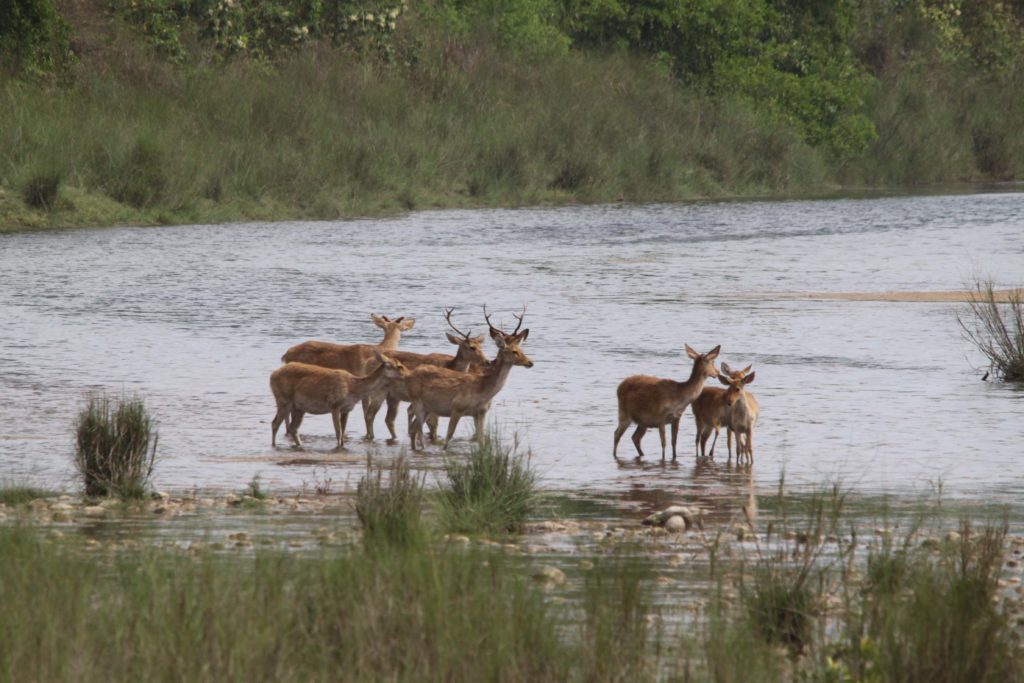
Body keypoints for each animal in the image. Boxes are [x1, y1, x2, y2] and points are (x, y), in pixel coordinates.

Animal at [270, 350, 409, 450]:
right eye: (399, 366)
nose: (408, 374)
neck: (353, 388)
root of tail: (272, 375)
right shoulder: (335, 405)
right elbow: (338, 432)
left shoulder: (346, 409)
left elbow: (342, 434)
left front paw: (342, 447)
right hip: (283, 399)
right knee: (275, 423)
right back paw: (274, 446)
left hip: (299, 407)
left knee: (293, 428)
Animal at [280, 313, 415, 440]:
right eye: (386, 327)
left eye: (401, 328)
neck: (382, 348)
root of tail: (285, 355)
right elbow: (366, 412)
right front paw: (367, 435)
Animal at [364, 309, 491, 444]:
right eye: (471, 347)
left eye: (481, 346)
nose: (487, 361)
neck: (450, 366)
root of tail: (368, 362)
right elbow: (433, 424)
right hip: (378, 390)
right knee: (370, 414)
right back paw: (372, 437)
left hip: (393, 396)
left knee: (388, 419)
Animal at [403, 307, 536, 450]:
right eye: (514, 351)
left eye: (521, 348)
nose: (530, 362)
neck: (483, 389)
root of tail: (409, 374)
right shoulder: (457, 408)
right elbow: (449, 436)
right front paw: (444, 450)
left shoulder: (481, 412)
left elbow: (481, 439)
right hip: (417, 401)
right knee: (417, 428)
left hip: (428, 407)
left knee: (414, 429)